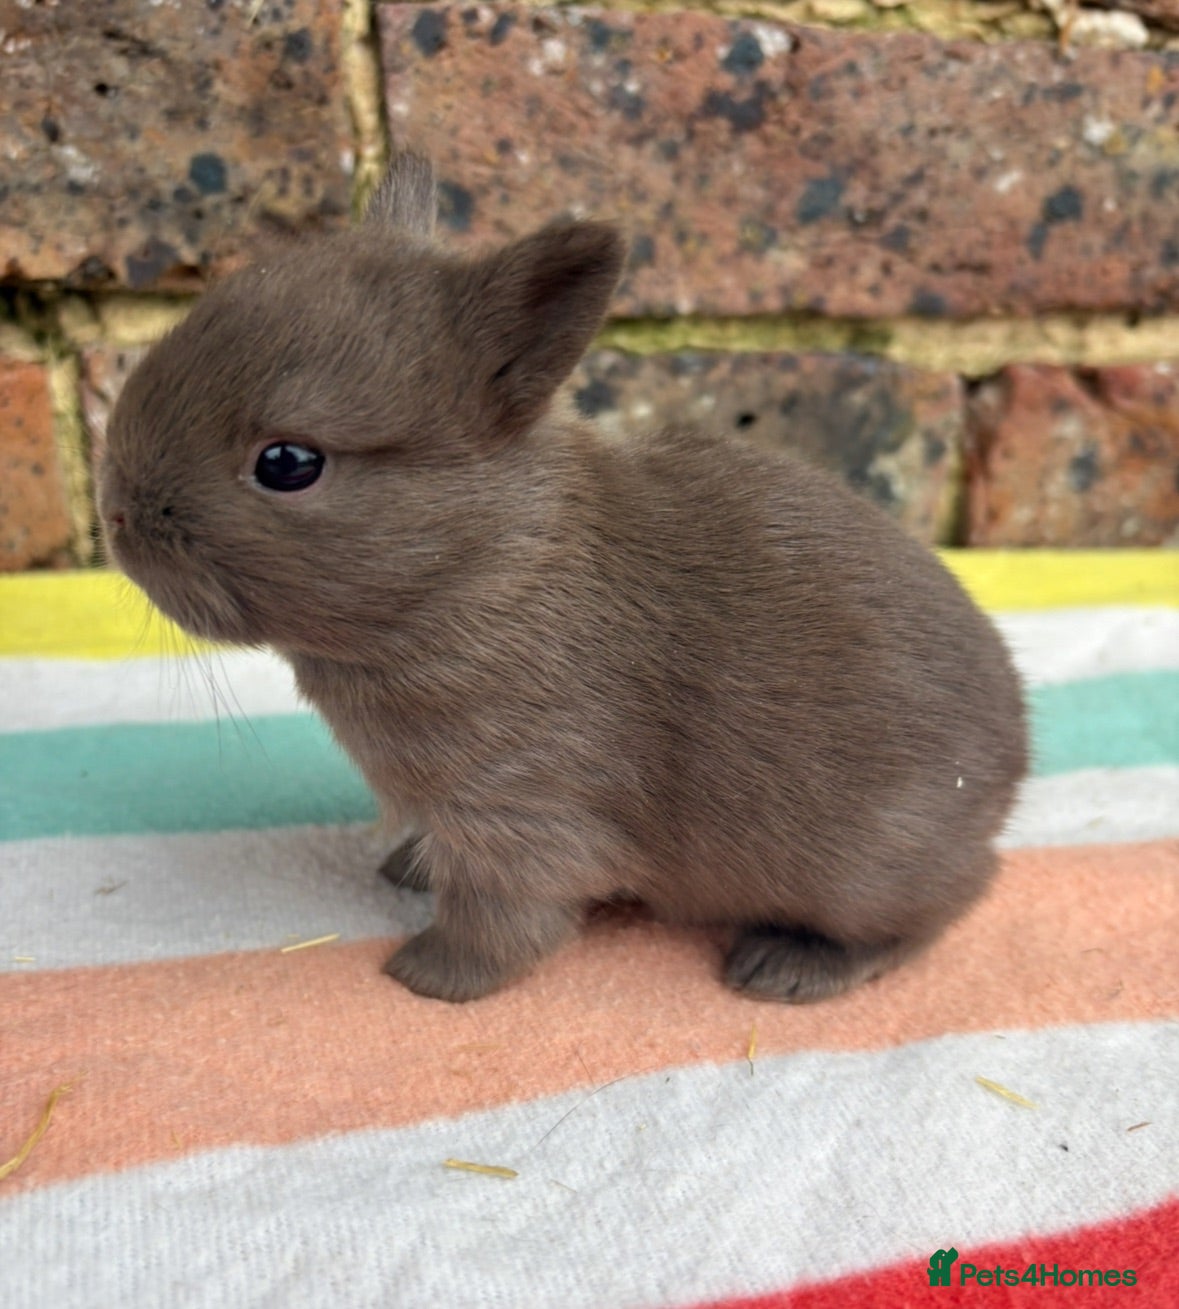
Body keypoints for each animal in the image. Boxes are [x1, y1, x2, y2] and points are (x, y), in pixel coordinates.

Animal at [98, 152, 1028, 1005]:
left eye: (288, 463)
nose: (115, 515)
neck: (482, 572)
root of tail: (1010, 773)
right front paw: (406, 868)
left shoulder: (521, 812)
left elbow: (503, 921)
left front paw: (427, 976)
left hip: (865, 871)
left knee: (936, 913)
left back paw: (786, 966)